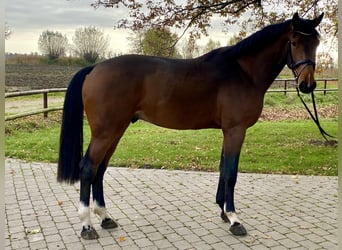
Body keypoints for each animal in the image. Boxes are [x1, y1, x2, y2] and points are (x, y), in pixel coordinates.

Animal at [58, 12, 324, 239]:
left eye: (317, 42)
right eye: (294, 42)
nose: (307, 85)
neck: (243, 72)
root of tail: (94, 68)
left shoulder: (228, 131)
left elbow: (222, 169)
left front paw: (223, 212)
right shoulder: (235, 130)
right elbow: (231, 173)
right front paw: (234, 219)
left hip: (116, 131)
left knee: (100, 169)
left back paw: (105, 217)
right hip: (105, 132)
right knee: (88, 168)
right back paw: (87, 226)